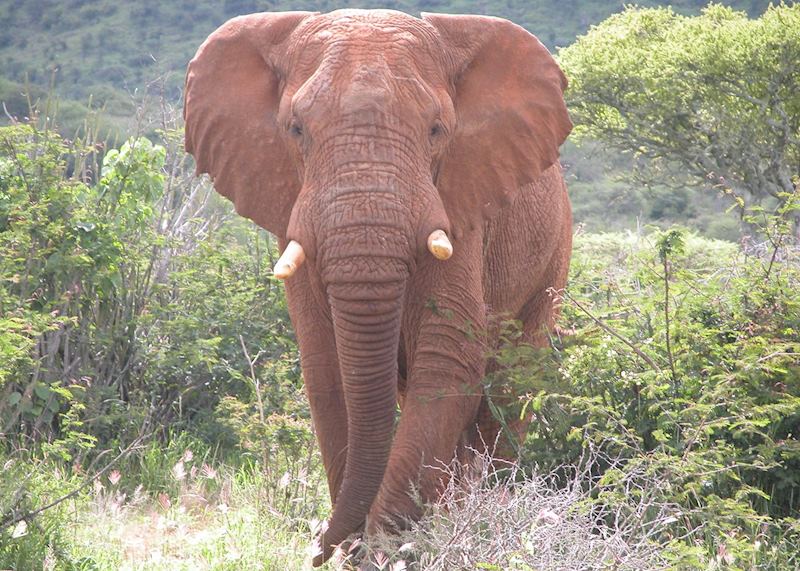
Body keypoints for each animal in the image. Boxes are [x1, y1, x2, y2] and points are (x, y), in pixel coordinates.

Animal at [184, 9, 572, 566]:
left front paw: (389, 550)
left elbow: (447, 358)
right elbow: (327, 370)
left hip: (552, 258)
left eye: (437, 130)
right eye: (295, 129)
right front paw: (363, 550)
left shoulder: (460, 202)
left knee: (510, 388)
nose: (316, 546)